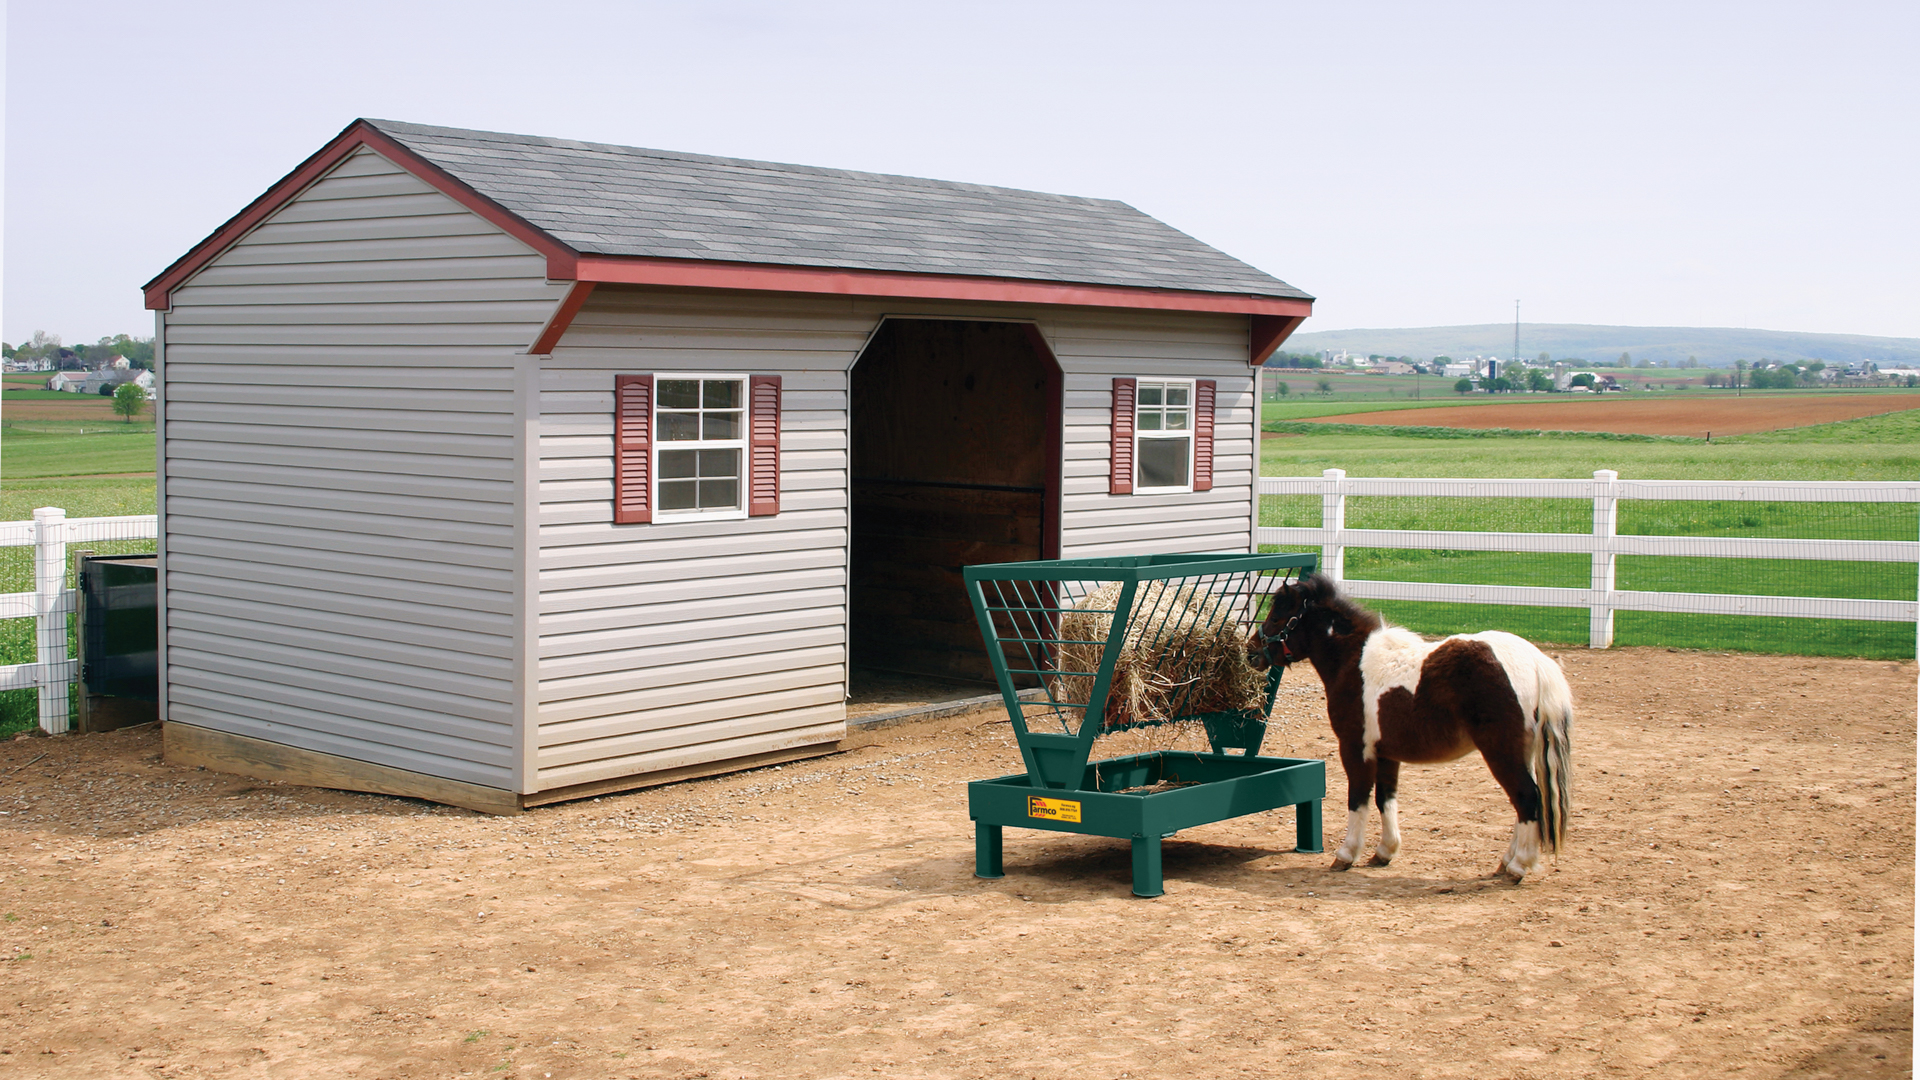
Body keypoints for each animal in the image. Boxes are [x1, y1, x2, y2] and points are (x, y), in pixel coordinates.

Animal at [1244, 568, 1574, 880]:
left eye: (1277, 616)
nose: (1251, 651)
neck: (1353, 661)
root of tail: (1536, 661)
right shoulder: (1387, 753)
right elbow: (1385, 798)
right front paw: (1385, 851)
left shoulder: (1355, 748)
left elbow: (1358, 798)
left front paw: (1347, 854)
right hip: (1522, 752)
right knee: (1525, 801)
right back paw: (1507, 861)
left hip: (1500, 751)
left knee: (1526, 797)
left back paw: (1519, 866)